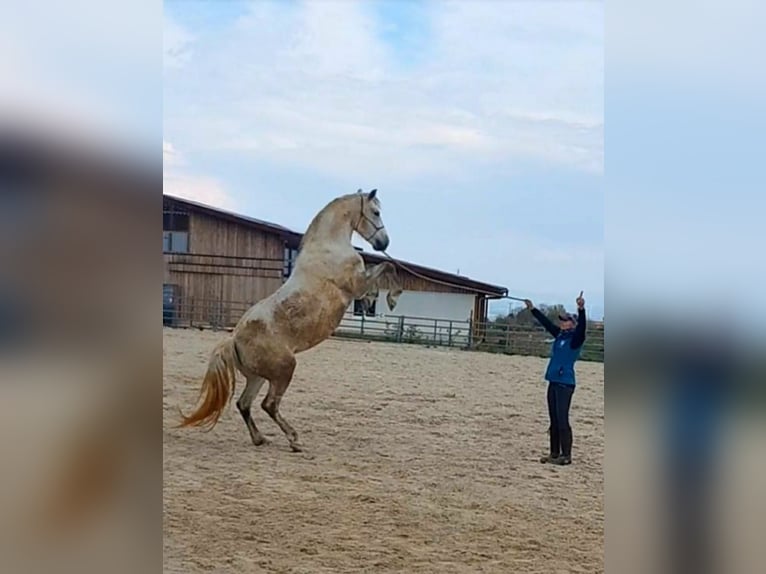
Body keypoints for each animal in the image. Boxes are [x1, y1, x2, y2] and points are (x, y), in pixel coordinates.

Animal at [178, 191, 402, 452]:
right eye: (376, 212)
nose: (384, 243)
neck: (329, 247)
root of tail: (233, 340)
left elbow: (381, 269)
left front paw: (372, 301)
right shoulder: (356, 284)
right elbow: (387, 266)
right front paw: (392, 298)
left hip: (258, 377)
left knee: (244, 404)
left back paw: (260, 439)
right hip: (285, 369)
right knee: (269, 405)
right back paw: (294, 440)